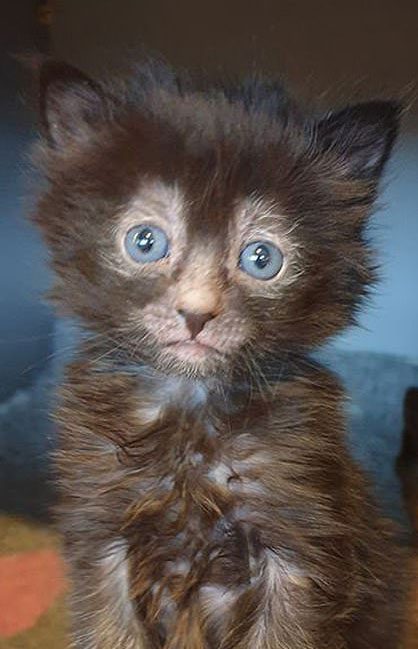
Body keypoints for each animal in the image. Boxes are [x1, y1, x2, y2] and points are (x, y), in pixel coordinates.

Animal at [34, 58, 406, 644]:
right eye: (145, 243)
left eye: (261, 258)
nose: (197, 313)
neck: (191, 408)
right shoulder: (101, 534)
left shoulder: (298, 544)